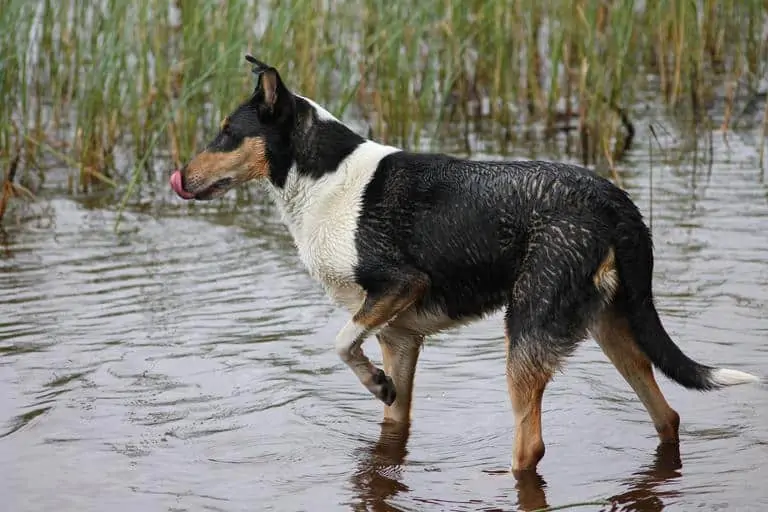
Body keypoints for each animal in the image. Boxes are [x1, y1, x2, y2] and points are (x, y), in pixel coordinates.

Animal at [165, 56, 760, 476]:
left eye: (226, 132)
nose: (180, 177)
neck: (322, 179)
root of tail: (616, 202)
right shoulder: (400, 335)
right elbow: (391, 416)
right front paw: (382, 388)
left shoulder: (400, 285)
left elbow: (339, 342)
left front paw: (373, 381)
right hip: (610, 329)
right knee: (668, 416)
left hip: (526, 330)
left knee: (531, 446)